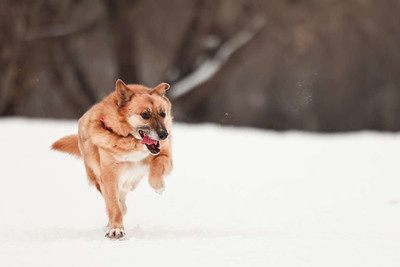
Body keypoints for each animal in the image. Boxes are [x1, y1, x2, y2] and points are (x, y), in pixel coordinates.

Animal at [52, 79, 173, 241]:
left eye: (163, 114)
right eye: (145, 115)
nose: (164, 135)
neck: (129, 140)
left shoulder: (166, 156)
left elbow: (156, 165)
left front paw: (158, 186)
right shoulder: (109, 176)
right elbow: (114, 207)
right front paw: (116, 229)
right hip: (100, 180)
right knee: (117, 204)